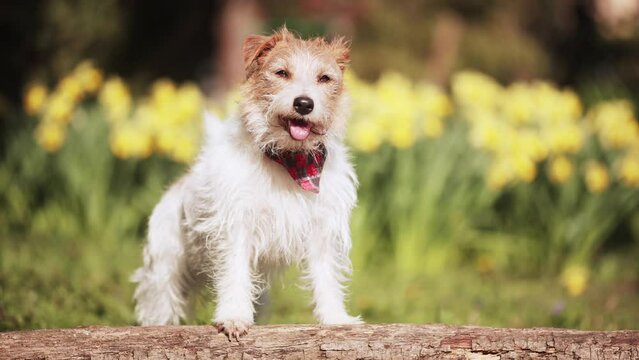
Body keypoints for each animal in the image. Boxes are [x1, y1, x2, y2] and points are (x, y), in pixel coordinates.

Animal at [132, 26, 362, 338]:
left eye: (324, 78)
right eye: (281, 72)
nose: (304, 103)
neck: (288, 160)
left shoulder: (322, 230)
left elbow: (326, 277)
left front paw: (336, 318)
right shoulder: (236, 225)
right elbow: (234, 272)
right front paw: (233, 316)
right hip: (165, 266)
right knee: (160, 300)